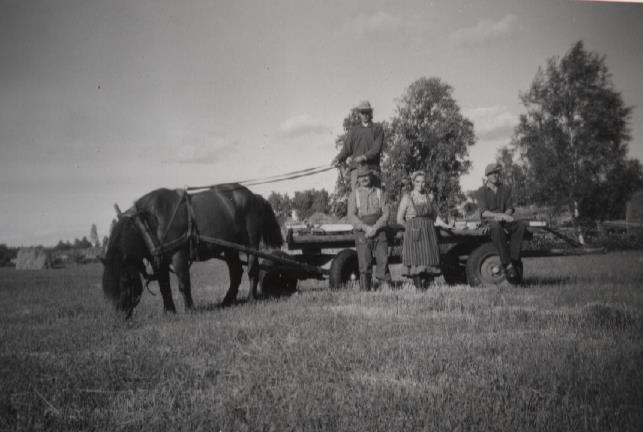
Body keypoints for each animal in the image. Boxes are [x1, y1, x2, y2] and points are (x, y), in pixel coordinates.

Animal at [102, 183, 284, 318]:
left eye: (125, 281)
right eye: (105, 288)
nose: (121, 316)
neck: (147, 222)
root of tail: (253, 196)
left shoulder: (178, 255)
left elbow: (184, 283)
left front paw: (189, 310)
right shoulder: (160, 260)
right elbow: (164, 286)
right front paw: (169, 311)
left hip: (250, 243)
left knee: (252, 269)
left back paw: (251, 298)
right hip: (230, 246)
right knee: (235, 273)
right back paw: (227, 300)